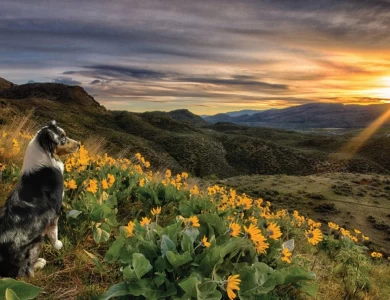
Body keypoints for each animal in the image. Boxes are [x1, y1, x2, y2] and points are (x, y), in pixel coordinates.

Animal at [0, 120, 79, 278]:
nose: (79, 144)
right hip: (36, 241)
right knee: (24, 272)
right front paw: (58, 245)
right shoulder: (55, 212)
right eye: (63, 137)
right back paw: (40, 262)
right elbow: (54, 233)